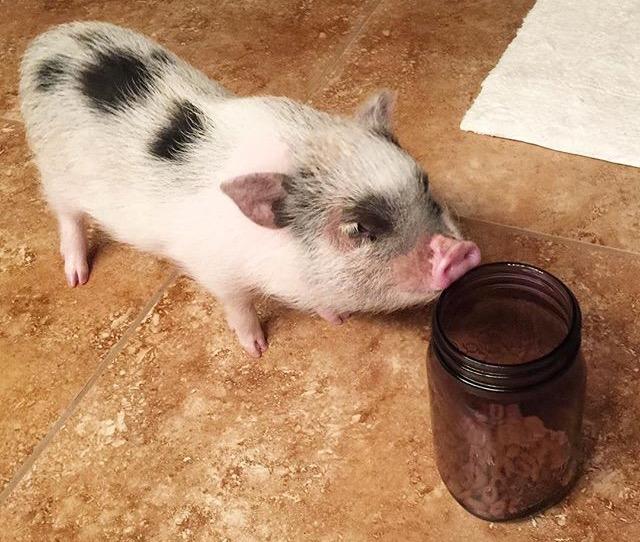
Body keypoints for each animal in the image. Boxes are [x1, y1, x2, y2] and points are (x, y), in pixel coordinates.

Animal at [19, 21, 481, 357]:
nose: (460, 251)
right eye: (359, 228)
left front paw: (337, 319)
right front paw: (257, 350)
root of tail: (43, 42)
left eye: (426, 187)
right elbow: (238, 305)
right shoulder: (214, 269)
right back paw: (77, 278)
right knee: (67, 217)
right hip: (54, 172)